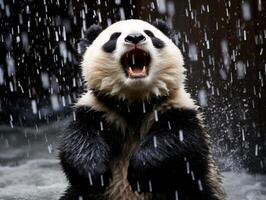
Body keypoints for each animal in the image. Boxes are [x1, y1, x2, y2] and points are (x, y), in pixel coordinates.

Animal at [59, 19, 225, 200]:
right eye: (114, 36)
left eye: (150, 34)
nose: (135, 37)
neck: (135, 104)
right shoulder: (97, 108)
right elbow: (80, 139)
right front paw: (93, 173)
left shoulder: (177, 107)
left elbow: (179, 141)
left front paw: (140, 172)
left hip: (195, 188)